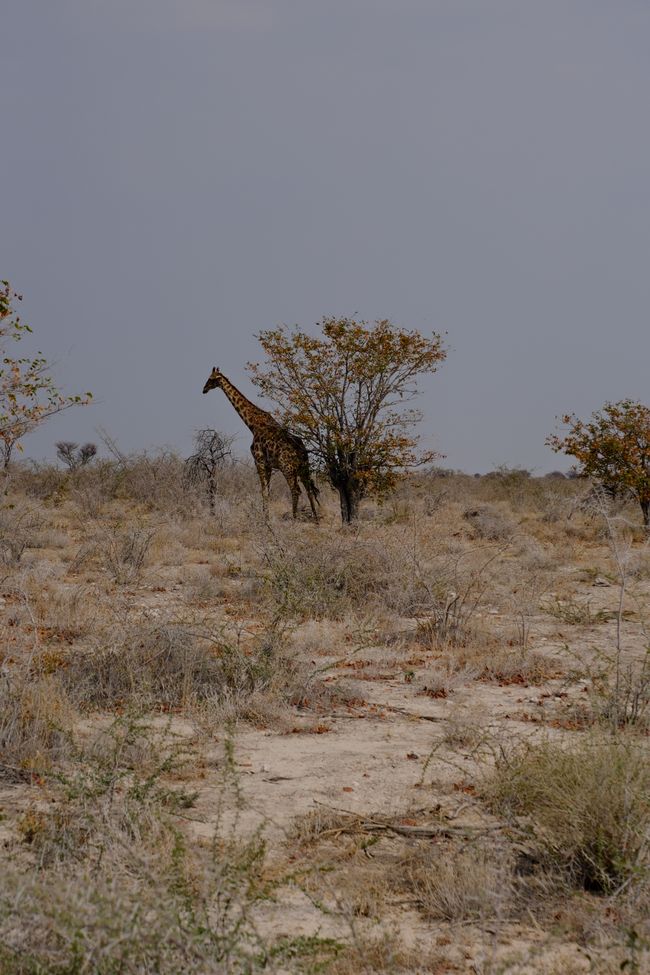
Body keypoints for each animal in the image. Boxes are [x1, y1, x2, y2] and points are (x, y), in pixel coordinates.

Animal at [200, 366, 316, 520]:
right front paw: (266, 517)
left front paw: (265, 520)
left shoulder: (259, 461)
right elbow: (268, 491)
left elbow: (264, 492)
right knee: (309, 490)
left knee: (296, 490)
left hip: (287, 468)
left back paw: (294, 518)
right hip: (304, 468)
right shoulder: (268, 465)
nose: (204, 389)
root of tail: (301, 451)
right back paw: (316, 518)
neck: (252, 424)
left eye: (211, 379)